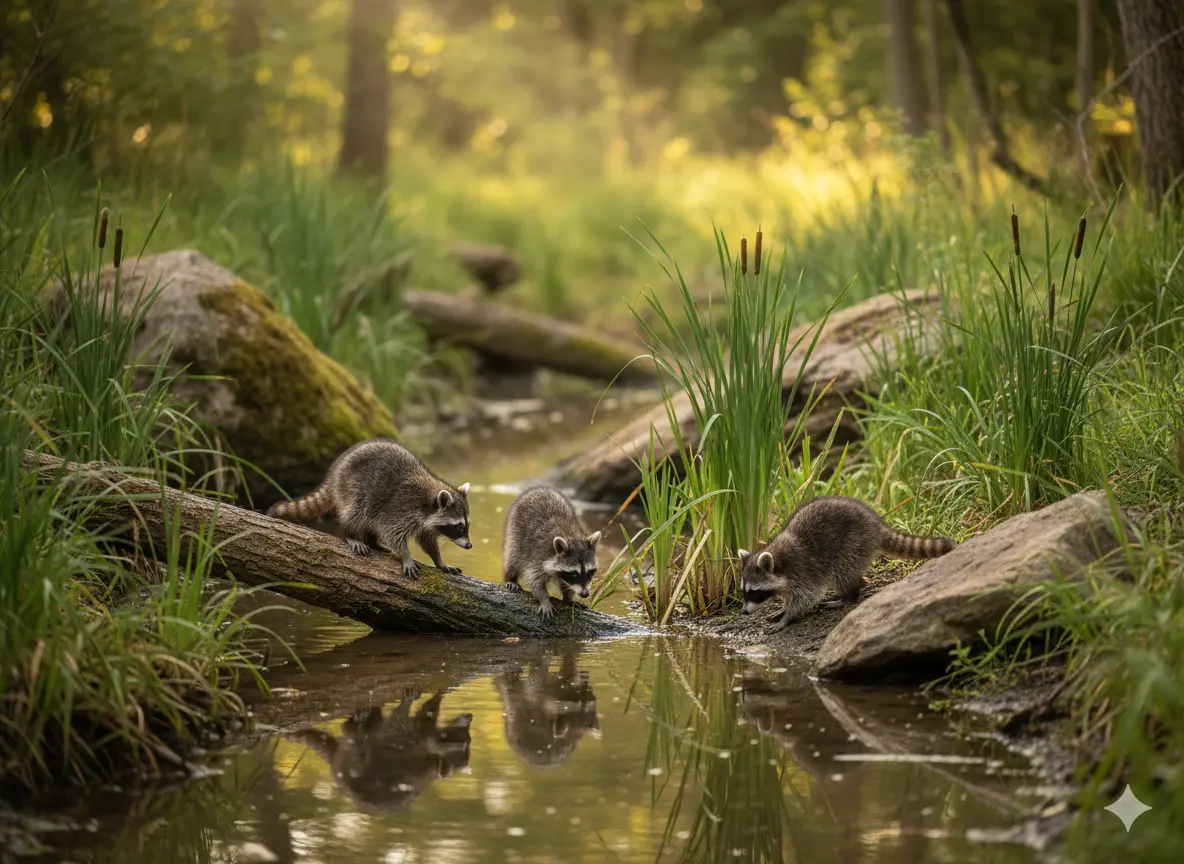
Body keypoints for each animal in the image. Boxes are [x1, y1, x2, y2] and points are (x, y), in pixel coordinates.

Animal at [266, 438, 472, 579]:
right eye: (459, 527)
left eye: (467, 525)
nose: (470, 545)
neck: (430, 501)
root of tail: (335, 471)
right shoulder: (402, 507)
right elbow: (391, 532)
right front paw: (405, 555)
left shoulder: (423, 521)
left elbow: (427, 541)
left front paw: (439, 560)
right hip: (354, 487)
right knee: (358, 513)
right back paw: (350, 534)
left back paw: (374, 542)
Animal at [286, 689, 472, 814]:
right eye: (467, 739)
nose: (470, 717)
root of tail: (336, 762)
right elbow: (424, 715)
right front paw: (438, 696)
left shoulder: (407, 747)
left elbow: (399, 721)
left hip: (353, 768)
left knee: (359, 748)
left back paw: (357, 728)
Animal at [502, 483, 601, 621]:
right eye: (574, 574)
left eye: (590, 571)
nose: (585, 594)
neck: (571, 537)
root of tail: (538, 487)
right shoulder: (539, 556)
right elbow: (534, 579)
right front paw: (544, 598)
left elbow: (566, 585)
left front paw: (568, 598)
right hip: (515, 533)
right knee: (512, 558)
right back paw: (510, 579)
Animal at [738, 495, 956, 634]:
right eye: (743, 591)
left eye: (754, 592)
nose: (743, 612)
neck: (778, 560)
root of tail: (876, 525)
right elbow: (792, 596)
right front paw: (783, 609)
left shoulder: (803, 569)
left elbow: (806, 597)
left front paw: (788, 616)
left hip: (852, 544)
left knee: (844, 571)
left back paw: (849, 596)